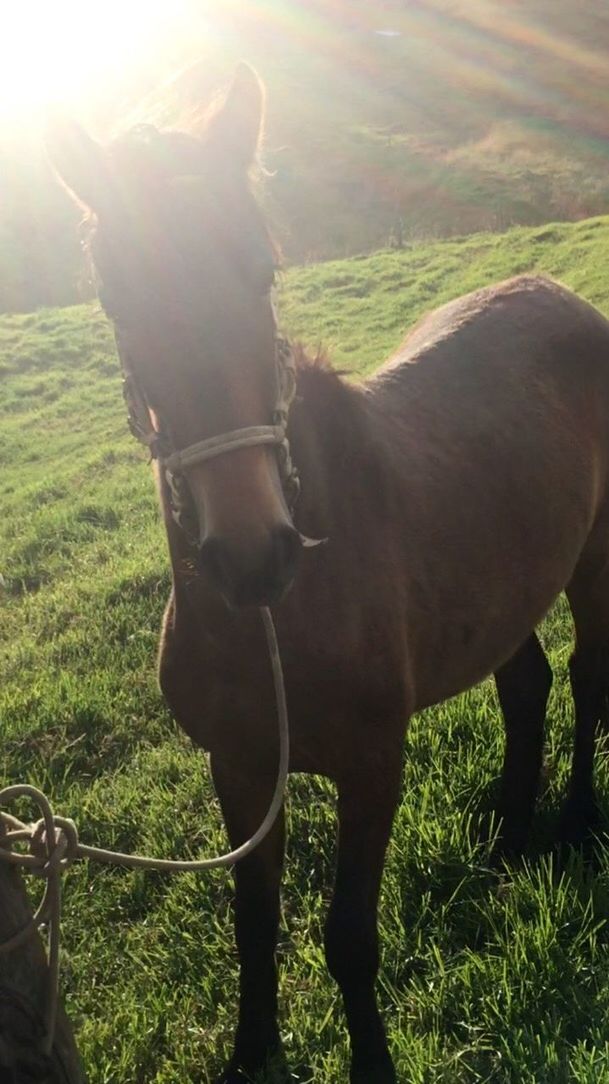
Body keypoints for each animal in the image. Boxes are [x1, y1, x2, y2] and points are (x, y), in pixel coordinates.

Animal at [49, 65, 606, 1075]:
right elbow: (253, 927)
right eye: (115, 298)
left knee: (586, 678)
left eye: (262, 271)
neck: (284, 623)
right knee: (526, 684)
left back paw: (576, 818)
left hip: (593, 558)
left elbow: (349, 939)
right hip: (503, 583)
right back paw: (508, 831)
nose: (252, 553)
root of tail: (559, 293)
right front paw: (249, 1056)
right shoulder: (237, 764)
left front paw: (373, 1065)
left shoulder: (372, 762)